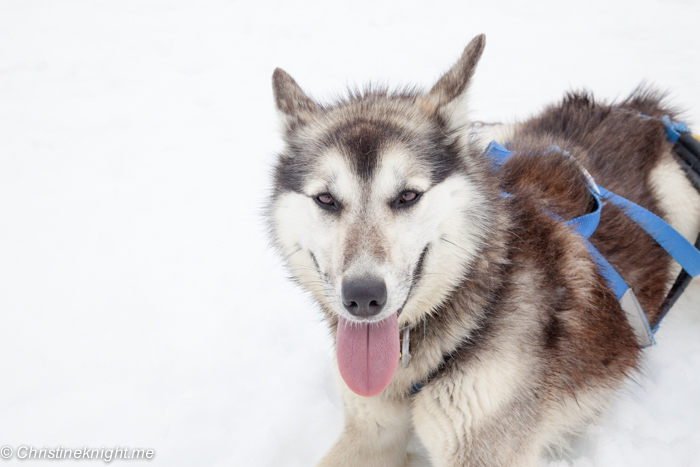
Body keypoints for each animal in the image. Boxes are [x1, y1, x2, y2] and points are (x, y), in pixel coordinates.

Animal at [266, 34, 700, 466]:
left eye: (408, 195)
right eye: (326, 199)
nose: (362, 297)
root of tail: (644, 113)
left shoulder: (480, 450)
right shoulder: (370, 428)